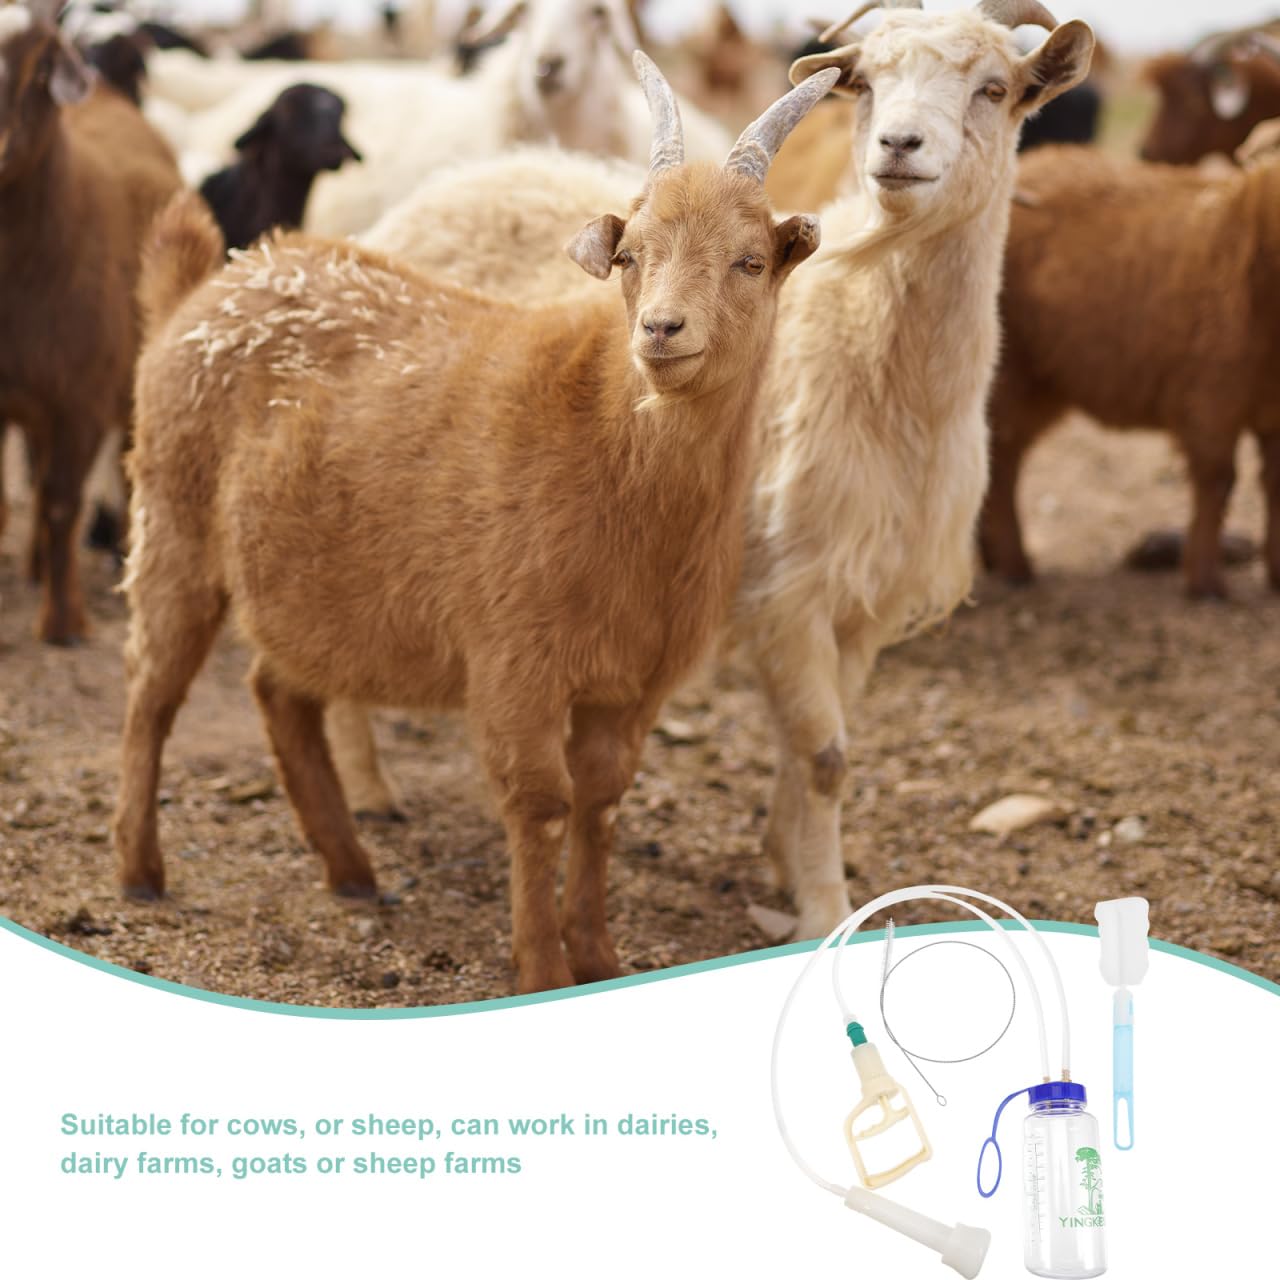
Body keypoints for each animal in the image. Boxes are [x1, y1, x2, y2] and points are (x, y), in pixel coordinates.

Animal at [340, 0, 1095, 937]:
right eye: (867, 84)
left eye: (996, 88)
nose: (900, 146)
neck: (876, 370)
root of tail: (455, 185)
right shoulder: (789, 587)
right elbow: (825, 756)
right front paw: (822, 908)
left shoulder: (859, 600)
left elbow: (812, 750)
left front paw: (782, 861)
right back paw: (369, 790)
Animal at [980, 141, 1280, 600]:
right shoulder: (1210, 396)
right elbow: (1217, 481)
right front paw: (1205, 582)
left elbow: (1274, 485)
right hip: (1011, 375)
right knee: (1001, 464)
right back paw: (1014, 567)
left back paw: (992, 558)